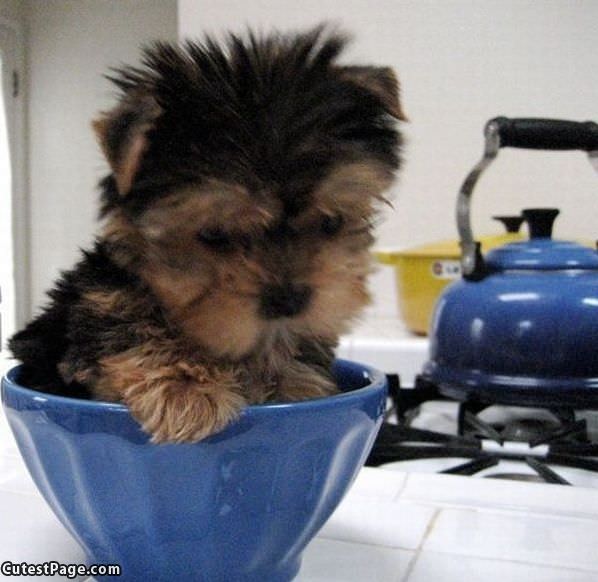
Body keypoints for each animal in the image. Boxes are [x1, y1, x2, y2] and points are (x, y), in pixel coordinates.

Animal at [9, 27, 406, 444]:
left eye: (331, 222)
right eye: (214, 233)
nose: (289, 300)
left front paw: (293, 386)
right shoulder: (98, 302)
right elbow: (127, 325)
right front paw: (185, 388)